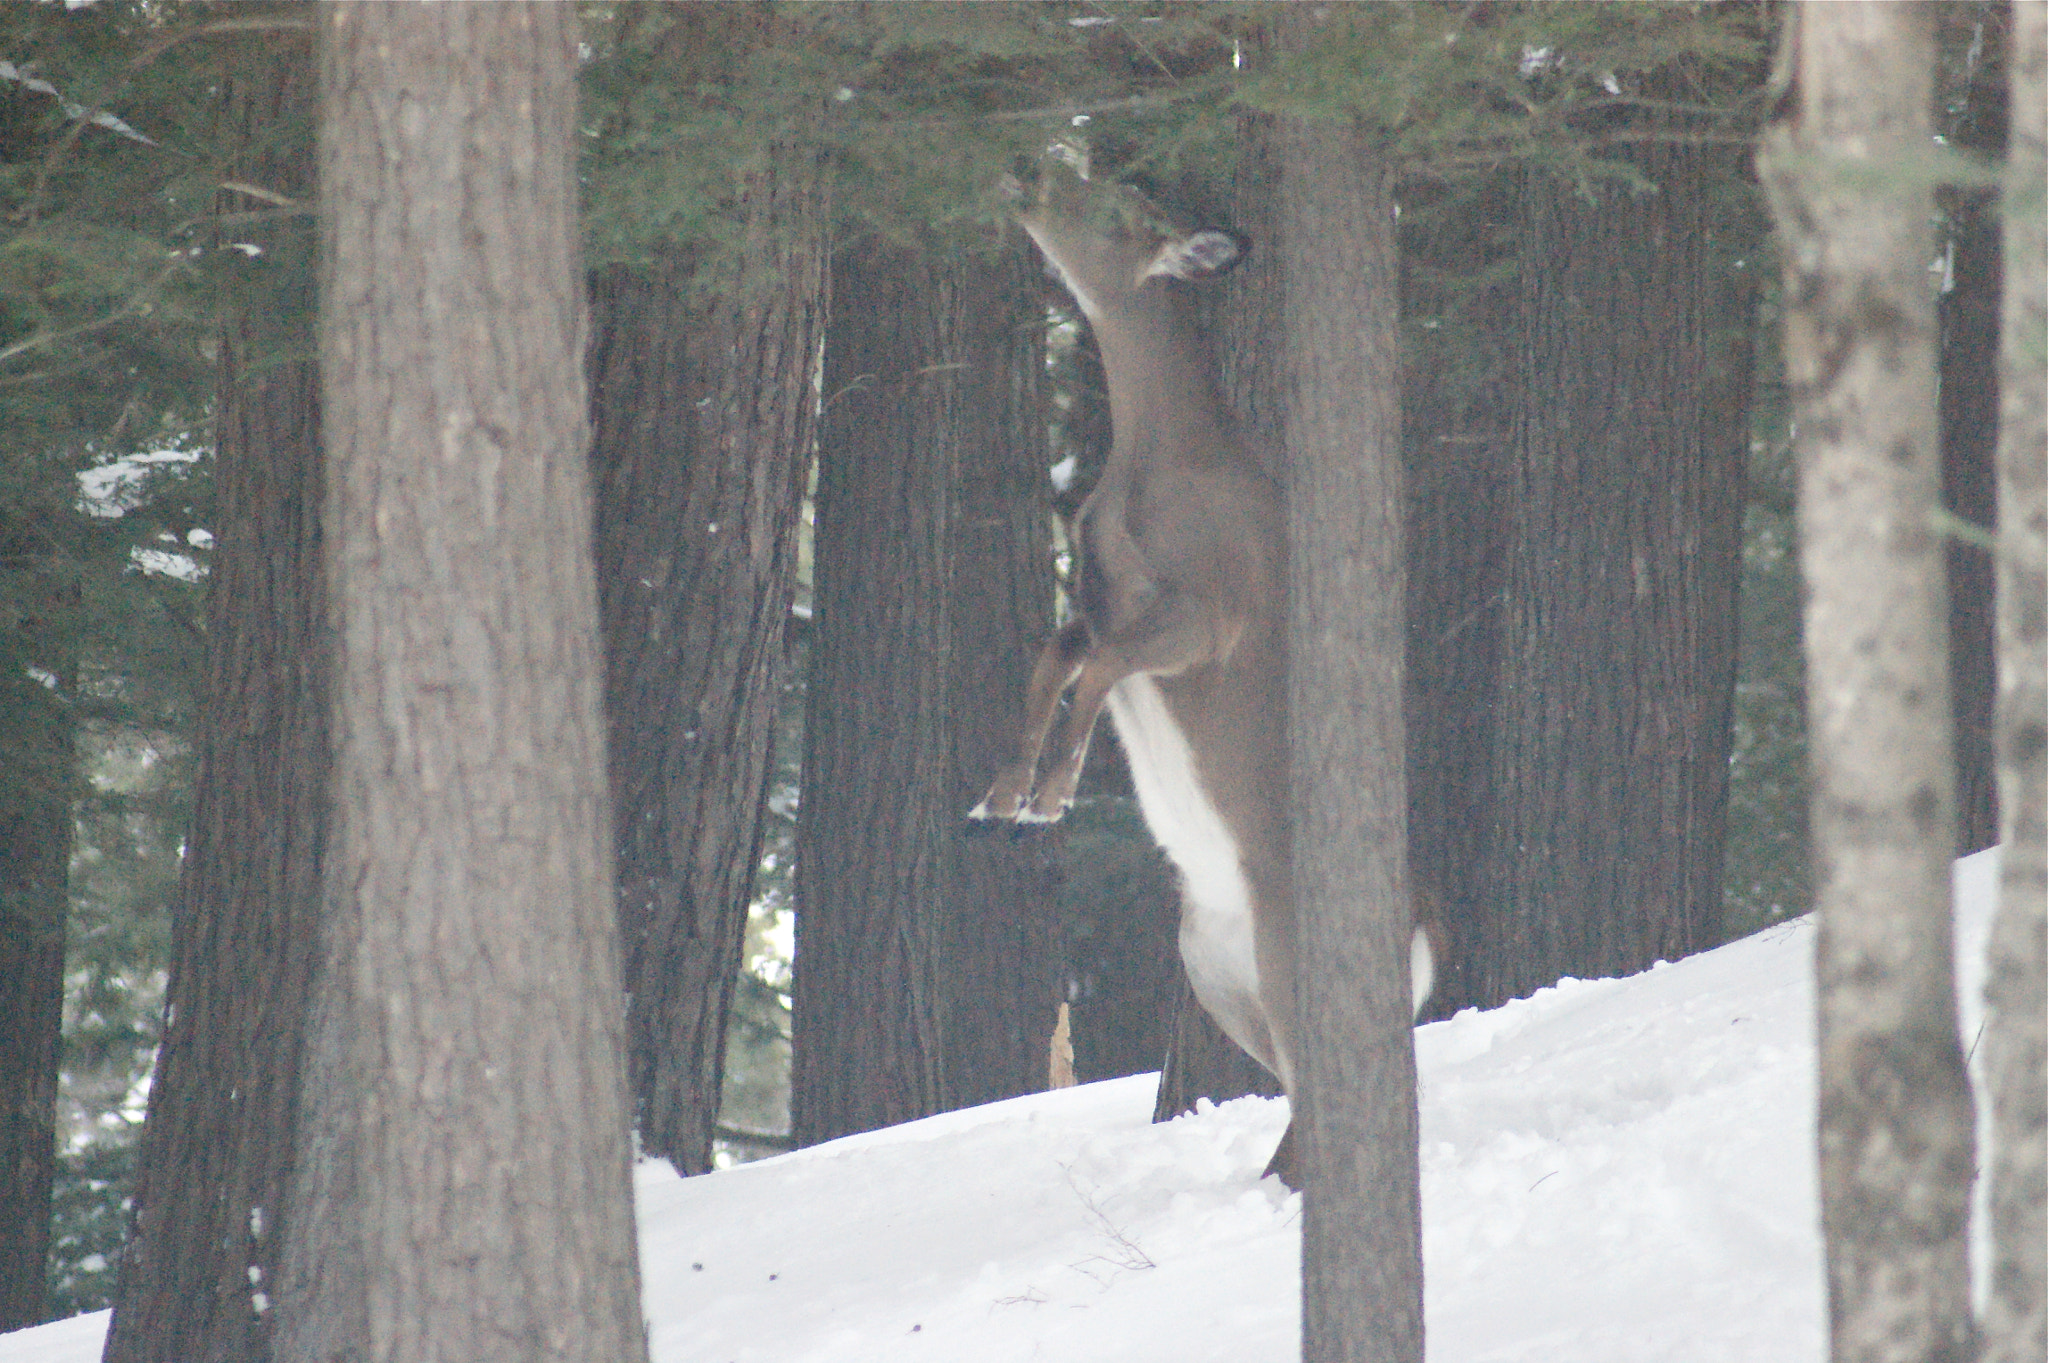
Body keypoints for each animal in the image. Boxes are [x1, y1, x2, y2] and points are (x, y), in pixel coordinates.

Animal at [974, 164, 1441, 1186]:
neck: (1149, 466)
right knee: (1310, 1093)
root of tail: (1429, 942)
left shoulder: (1212, 609)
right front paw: (1002, 793)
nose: (1025, 173)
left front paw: (1054, 793)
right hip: (1215, 966)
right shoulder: (1101, 595)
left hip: (1288, 948)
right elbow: (1056, 653)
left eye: (1115, 208)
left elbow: (1100, 664)